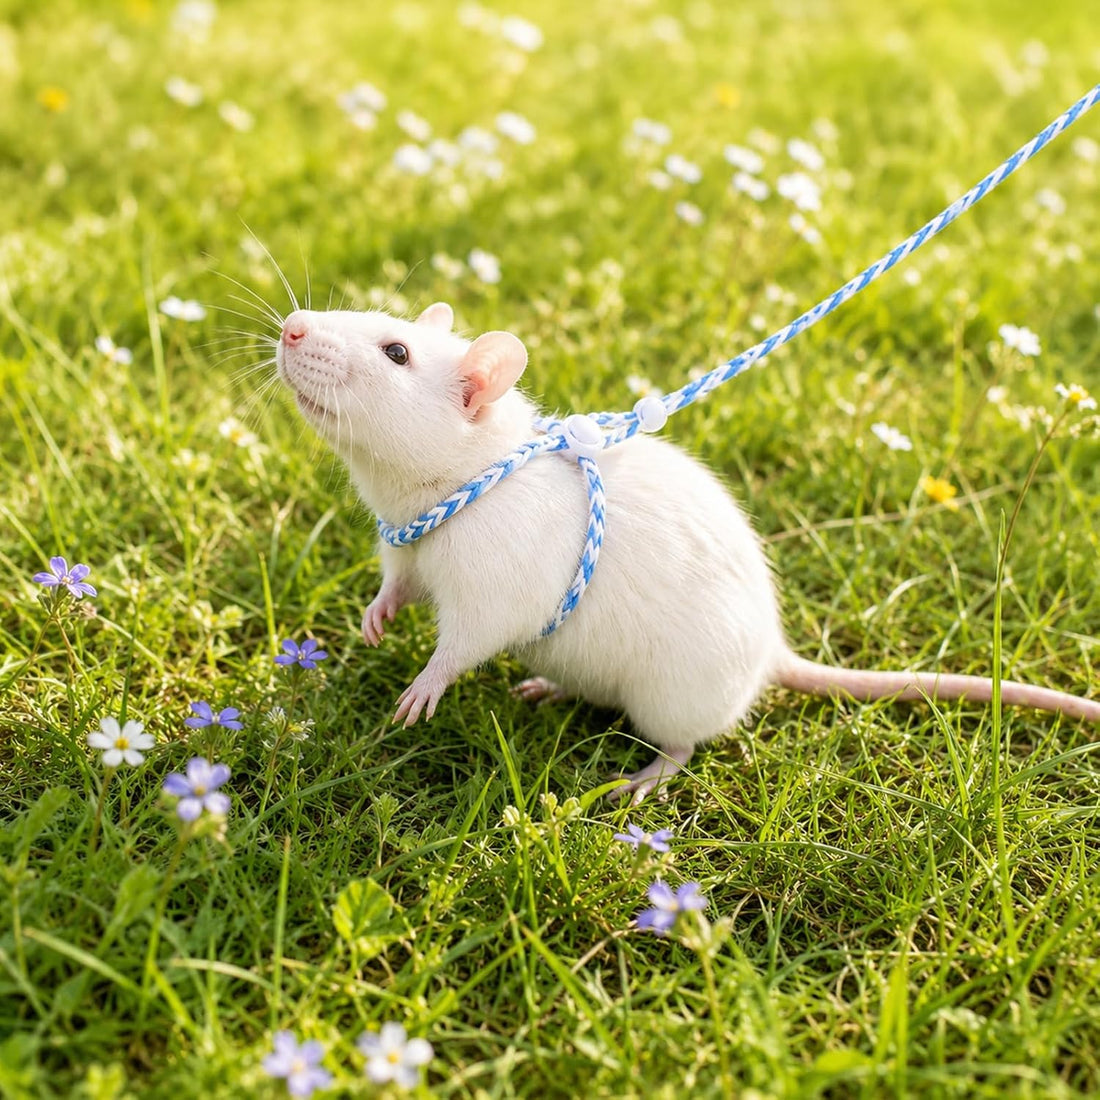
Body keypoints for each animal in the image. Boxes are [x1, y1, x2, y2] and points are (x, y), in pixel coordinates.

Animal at [274, 302, 1100, 803]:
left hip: (670, 699)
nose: (291, 327)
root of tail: (771, 656)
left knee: (682, 744)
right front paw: (377, 617)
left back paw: (647, 775)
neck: (458, 482)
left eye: (396, 351)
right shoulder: (407, 548)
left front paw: (424, 687)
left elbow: (469, 639)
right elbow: (400, 585)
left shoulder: (495, 582)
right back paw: (550, 690)